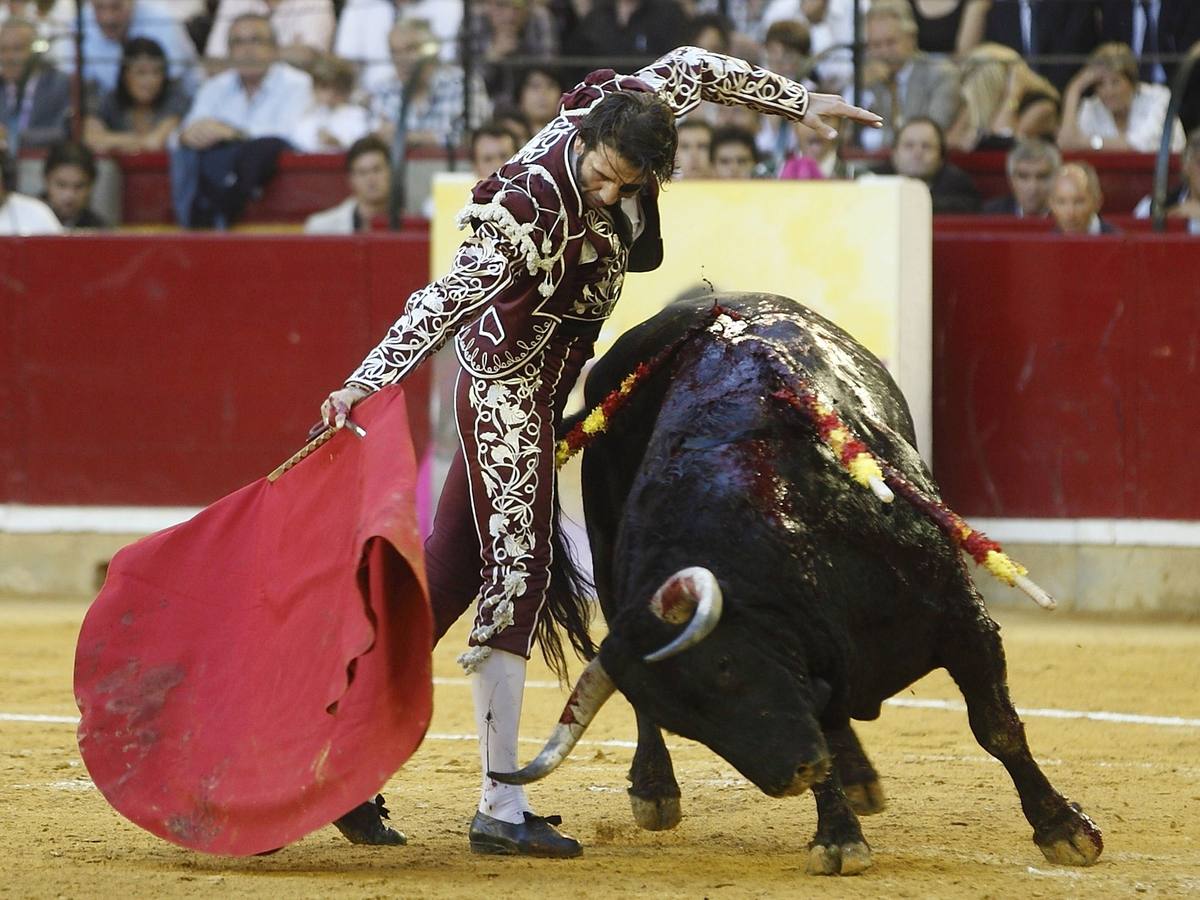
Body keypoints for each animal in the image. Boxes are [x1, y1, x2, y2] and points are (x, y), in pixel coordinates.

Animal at [492, 296, 1099, 873]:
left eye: (726, 667)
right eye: (686, 720)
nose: (792, 775)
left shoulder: (963, 621)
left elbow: (996, 726)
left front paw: (1065, 829)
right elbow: (820, 724)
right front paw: (839, 838)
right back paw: (656, 788)